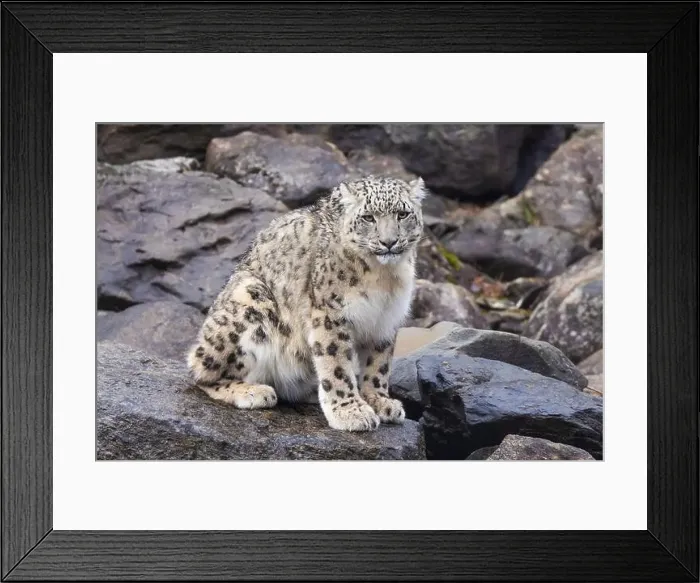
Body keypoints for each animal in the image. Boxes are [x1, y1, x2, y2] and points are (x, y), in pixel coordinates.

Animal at [186, 175, 426, 431]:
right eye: (368, 217)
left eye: (402, 214)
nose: (389, 242)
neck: (385, 279)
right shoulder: (331, 313)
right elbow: (336, 363)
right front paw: (350, 411)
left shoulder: (386, 319)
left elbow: (379, 364)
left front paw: (380, 401)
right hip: (252, 301)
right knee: (201, 370)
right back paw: (253, 391)